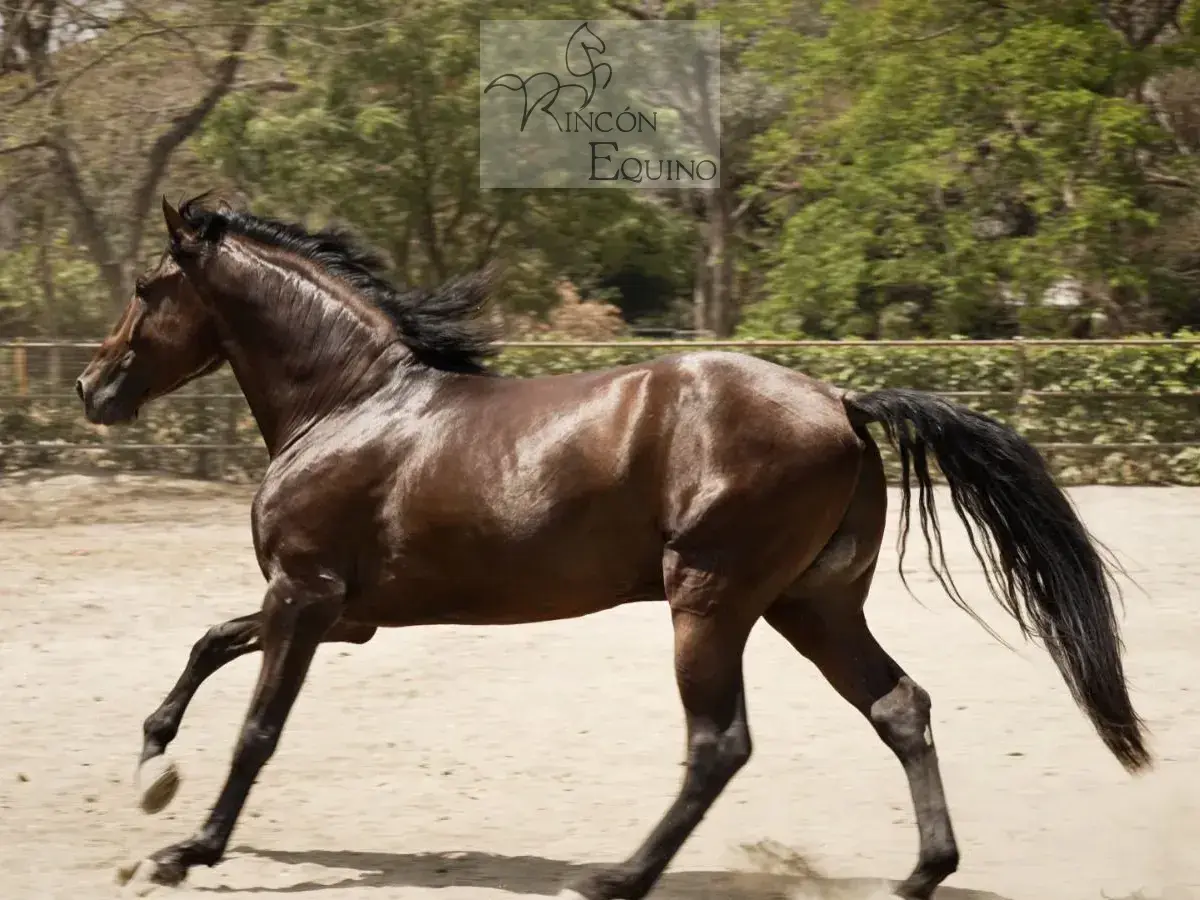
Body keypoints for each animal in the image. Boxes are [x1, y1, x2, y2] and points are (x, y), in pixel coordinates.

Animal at [76, 195, 1151, 900]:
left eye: (146, 284)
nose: (92, 389)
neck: (351, 405)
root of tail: (843, 402)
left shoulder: (306, 595)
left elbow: (259, 726)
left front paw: (183, 849)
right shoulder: (346, 614)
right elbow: (213, 642)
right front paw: (152, 761)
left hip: (710, 599)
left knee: (720, 744)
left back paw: (616, 878)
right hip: (810, 605)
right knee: (900, 707)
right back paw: (919, 875)